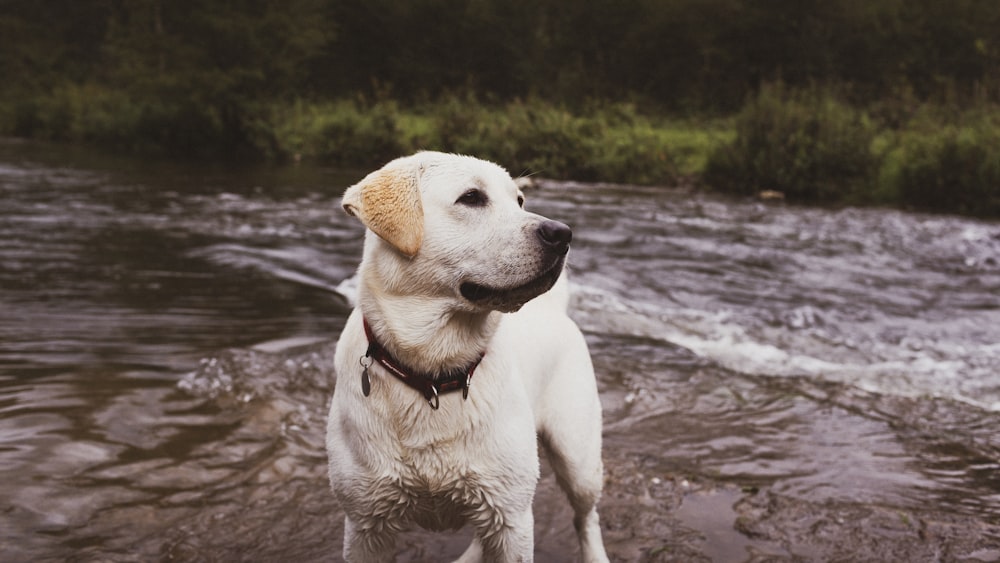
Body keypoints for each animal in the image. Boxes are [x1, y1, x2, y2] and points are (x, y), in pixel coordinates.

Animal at [328, 152, 608, 560]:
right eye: (472, 198)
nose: (562, 233)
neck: (434, 373)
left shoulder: (512, 517)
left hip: (577, 456)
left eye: (519, 201)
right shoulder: (365, 523)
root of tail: (554, 308)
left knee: (586, 516)